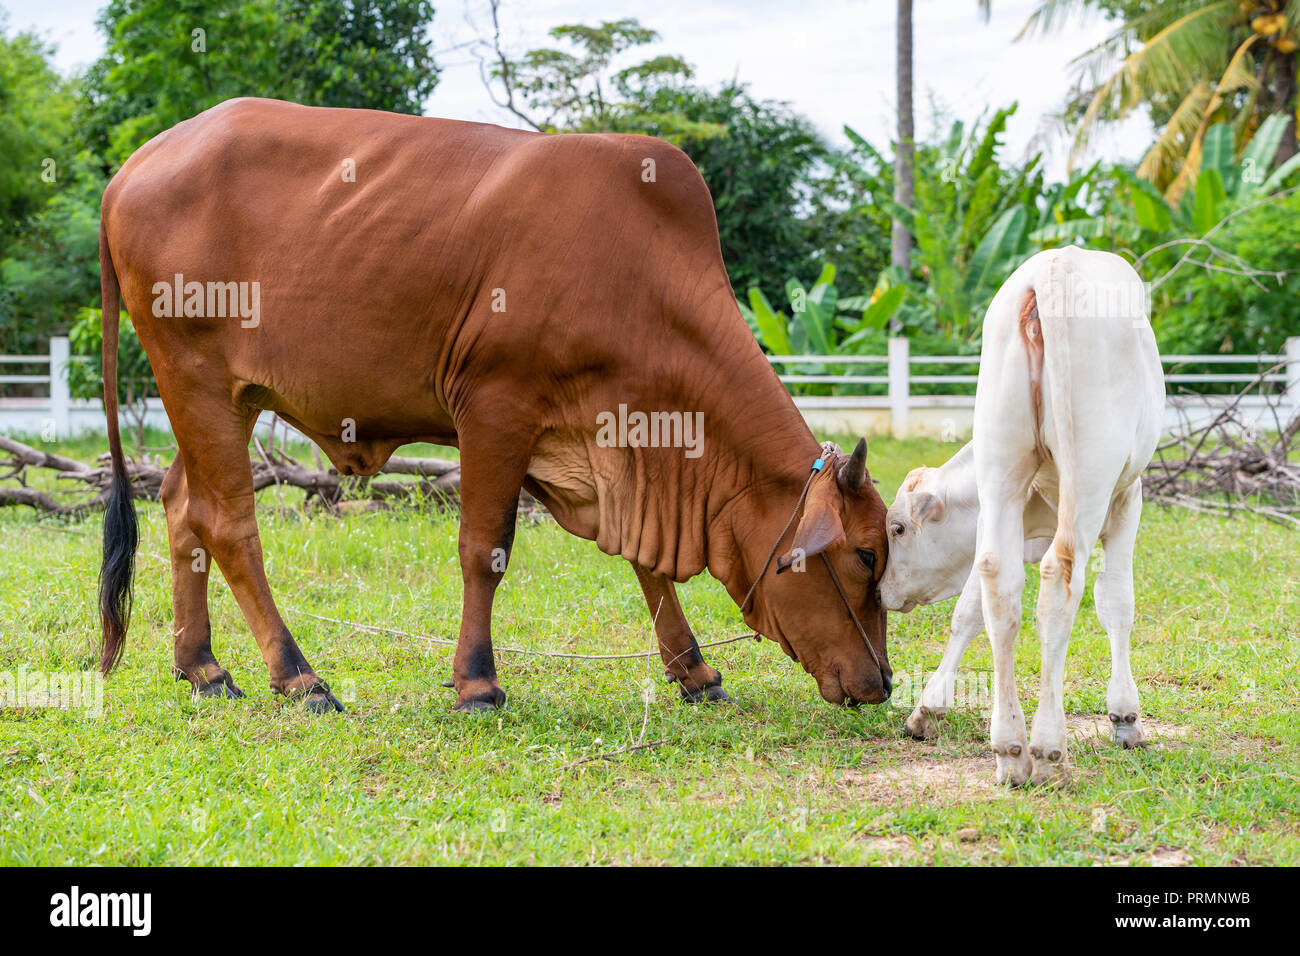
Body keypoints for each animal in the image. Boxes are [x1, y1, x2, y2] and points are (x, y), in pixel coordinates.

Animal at [96, 97, 893, 714]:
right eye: (864, 555)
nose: (882, 682)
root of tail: (131, 168)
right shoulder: (495, 409)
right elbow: (485, 551)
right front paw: (477, 684)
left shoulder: (620, 450)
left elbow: (649, 569)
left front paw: (695, 672)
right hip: (196, 378)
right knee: (229, 526)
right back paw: (300, 678)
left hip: (223, 399)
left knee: (180, 505)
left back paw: (203, 668)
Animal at [877, 246, 1163, 786]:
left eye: (898, 528)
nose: (879, 593)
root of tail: (1054, 267)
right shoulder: (1126, 498)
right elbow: (1116, 600)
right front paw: (1125, 716)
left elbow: (969, 609)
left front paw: (928, 708)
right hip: (1089, 479)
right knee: (1060, 578)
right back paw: (1047, 749)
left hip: (1002, 458)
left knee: (998, 581)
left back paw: (1009, 749)